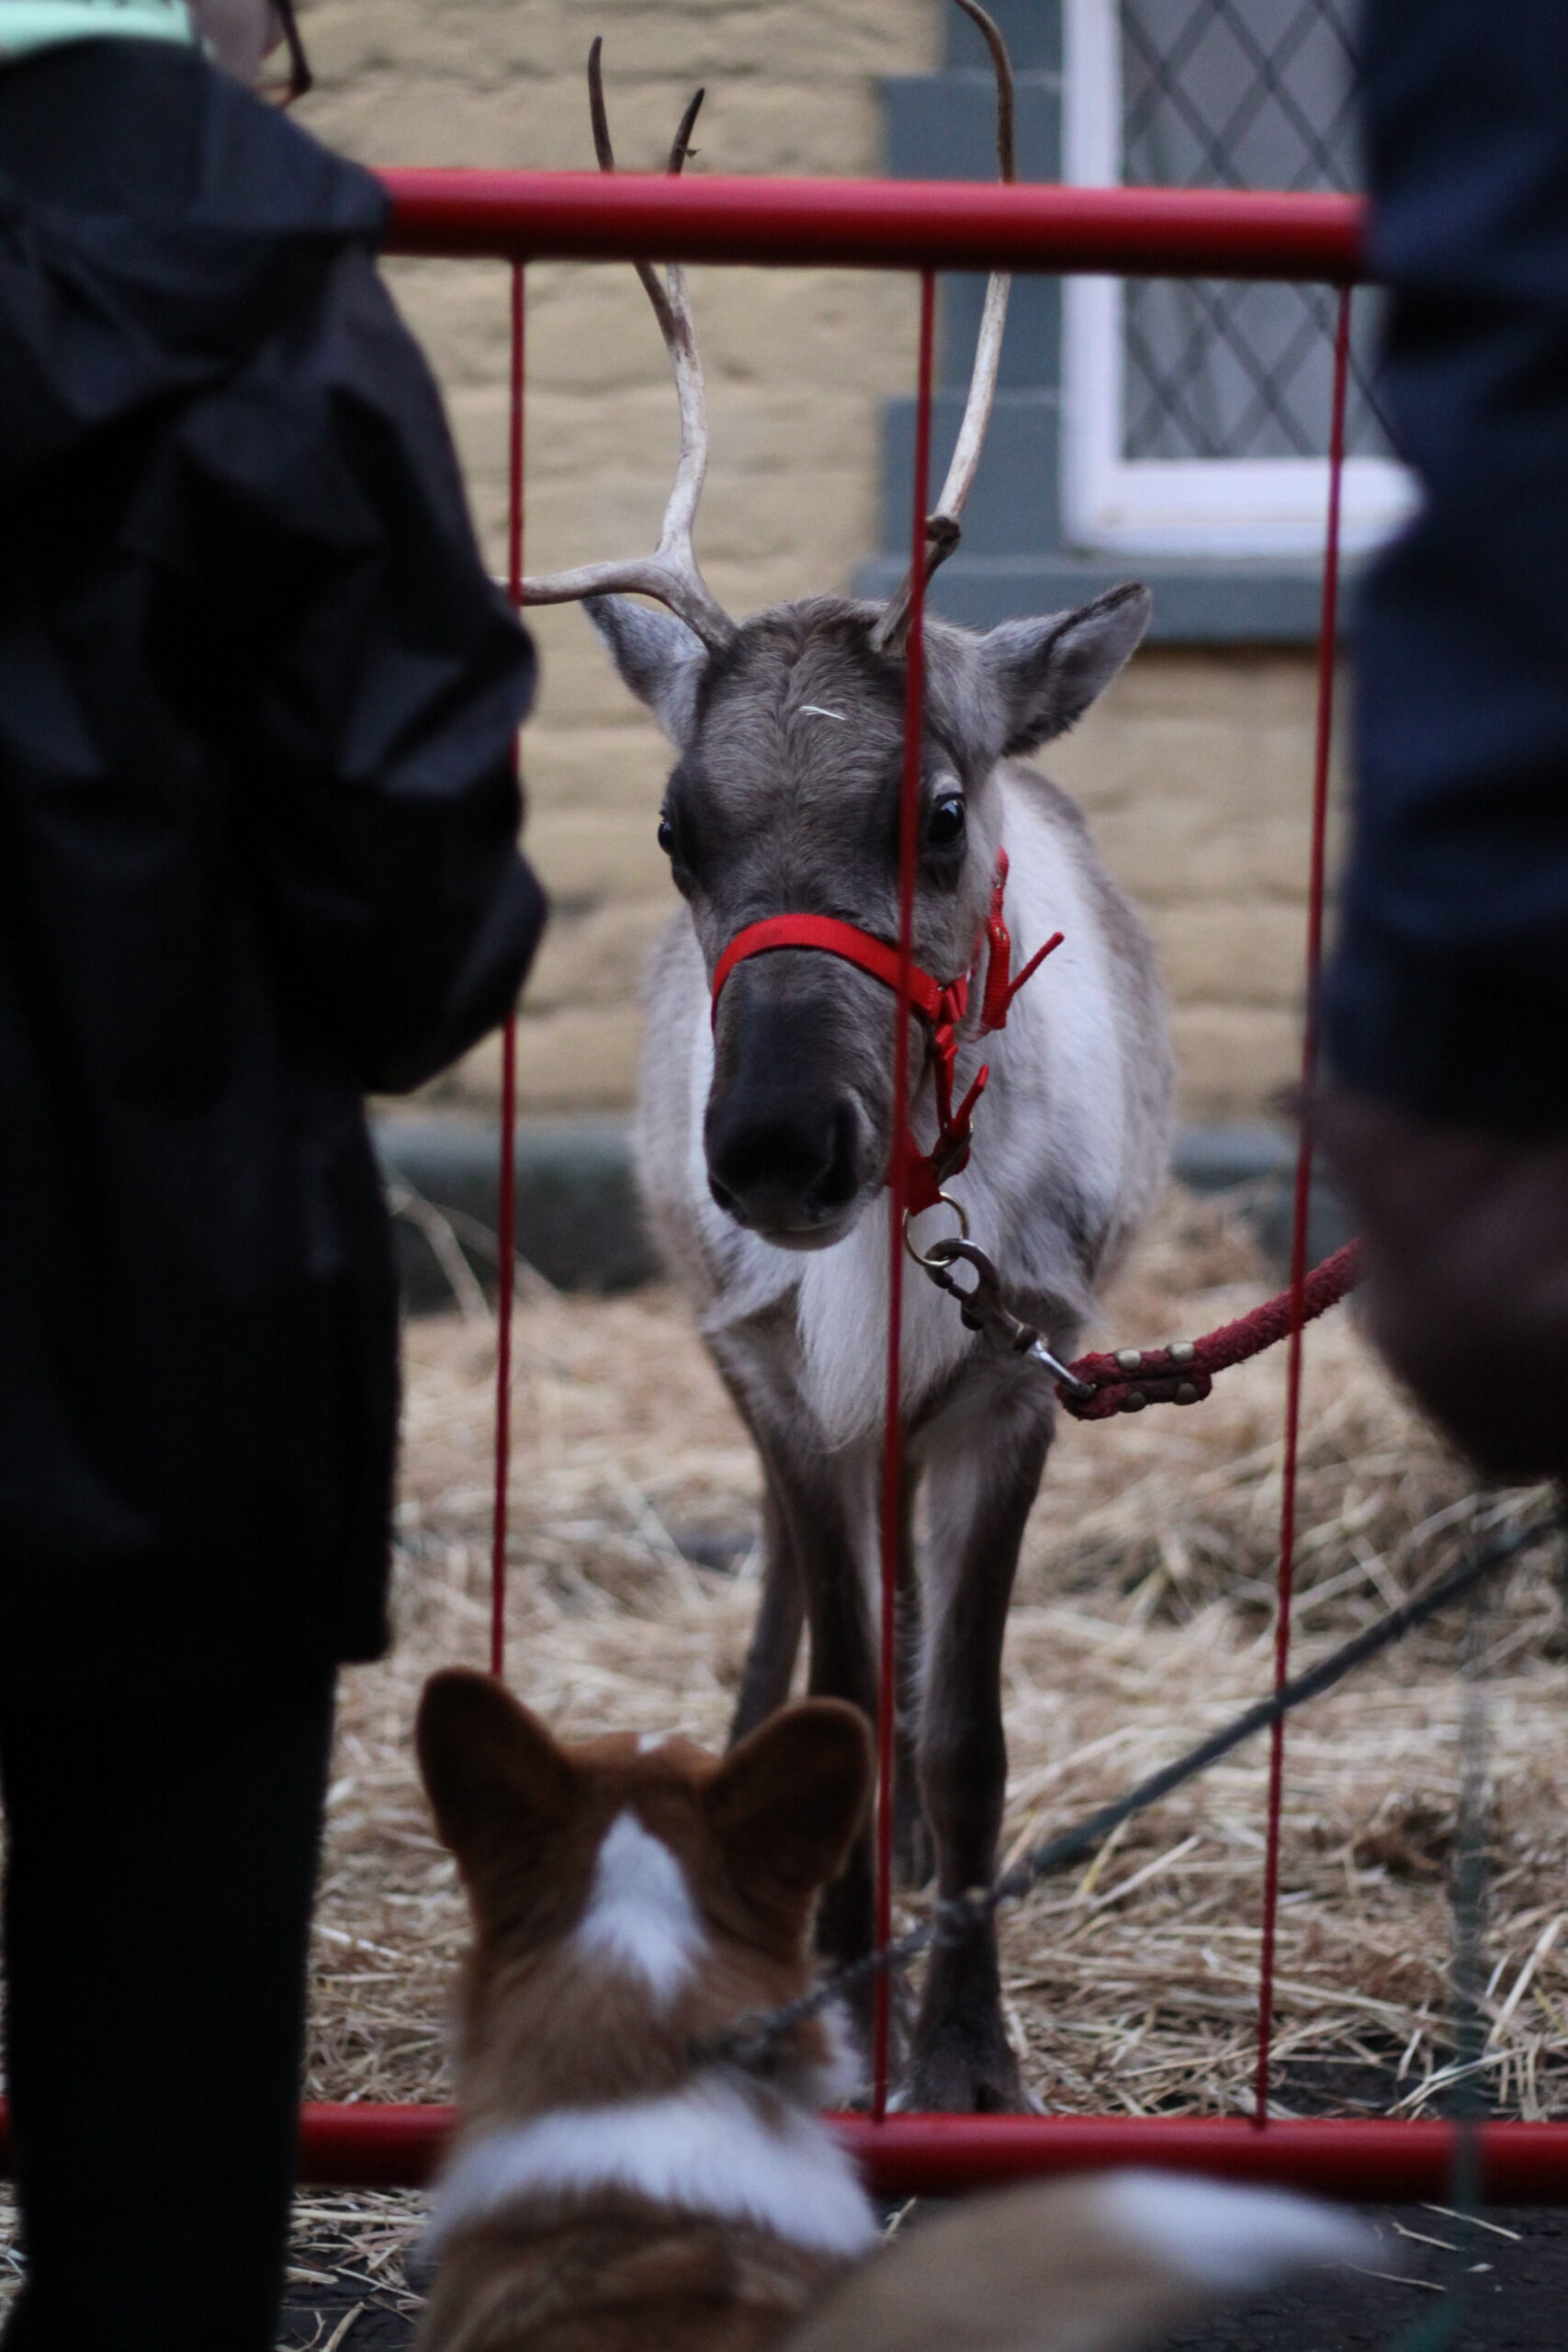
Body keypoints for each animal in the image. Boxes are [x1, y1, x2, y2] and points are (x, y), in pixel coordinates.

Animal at [520, 5, 1174, 2113]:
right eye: (673, 832)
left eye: (944, 813)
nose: (775, 1148)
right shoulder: (785, 1380)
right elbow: (843, 1695)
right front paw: (818, 1999)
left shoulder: (1023, 1375)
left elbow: (956, 1731)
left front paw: (962, 2051)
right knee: (804, 1635)